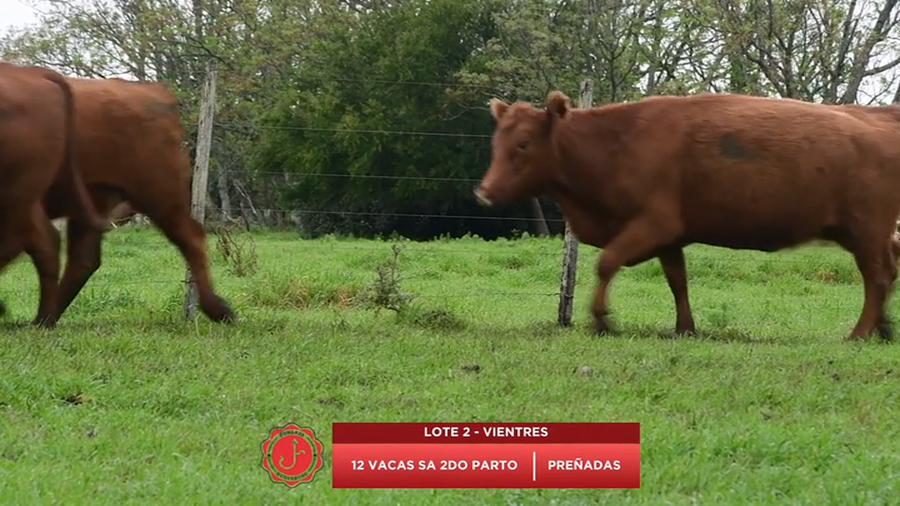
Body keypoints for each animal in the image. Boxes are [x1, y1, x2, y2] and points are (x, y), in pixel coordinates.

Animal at [0, 62, 108, 326]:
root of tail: (37, 72)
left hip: (18, 190)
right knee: (43, 240)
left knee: (26, 237)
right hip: (28, 194)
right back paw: (43, 318)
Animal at [475, 91, 900, 340]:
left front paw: (601, 319)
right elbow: (677, 281)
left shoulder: (652, 224)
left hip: (867, 234)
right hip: (867, 236)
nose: (484, 192)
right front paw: (685, 328)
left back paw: (860, 332)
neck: (615, 143)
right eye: (497, 141)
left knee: (877, 279)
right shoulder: (669, 237)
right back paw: (883, 329)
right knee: (888, 275)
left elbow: (607, 262)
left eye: (524, 144)